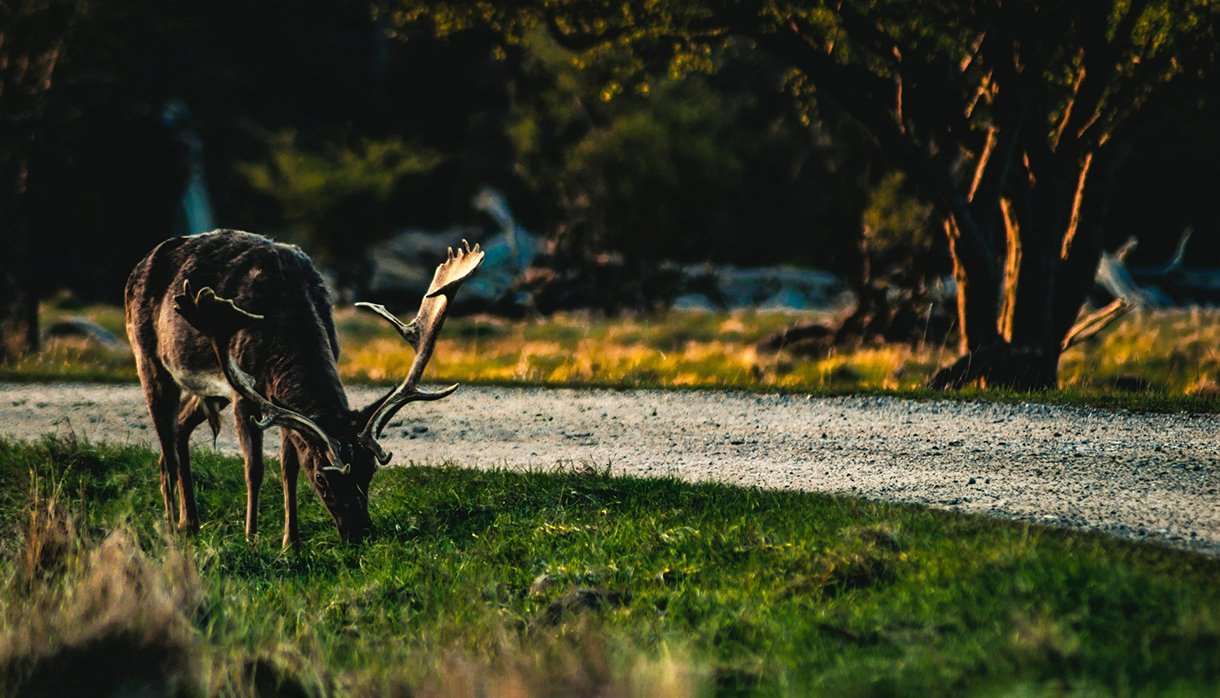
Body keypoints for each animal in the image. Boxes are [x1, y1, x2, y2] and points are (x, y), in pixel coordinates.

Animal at [124, 229, 483, 545]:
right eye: (323, 479)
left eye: (369, 471)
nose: (360, 534)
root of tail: (138, 265)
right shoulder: (244, 395)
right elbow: (254, 468)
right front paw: (251, 538)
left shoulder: (280, 404)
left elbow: (289, 467)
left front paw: (291, 542)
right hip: (148, 358)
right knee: (166, 449)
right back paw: (171, 525)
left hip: (208, 392)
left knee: (180, 430)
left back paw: (190, 523)